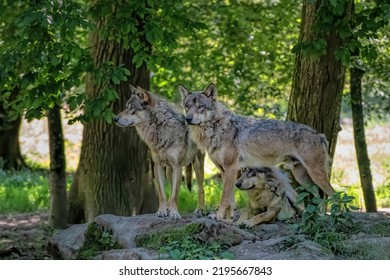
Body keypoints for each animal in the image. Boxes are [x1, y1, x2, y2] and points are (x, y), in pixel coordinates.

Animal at [112, 85, 204, 219]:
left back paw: (201, 209)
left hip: (197, 167)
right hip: (169, 172)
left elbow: (175, 193)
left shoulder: (177, 166)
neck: (159, 129)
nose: (114, 118)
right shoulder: (158, 166)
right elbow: (162, 193)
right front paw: (162, 211)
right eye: (126, 107)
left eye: (131, 108)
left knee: (201, 188)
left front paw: (174, 213)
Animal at [180, 82, 336, 222]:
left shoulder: (231, 168)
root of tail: (319, 135)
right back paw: (318, 217)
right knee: (317, 194)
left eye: (200, 106)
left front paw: (218, 216)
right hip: (302, 177)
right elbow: (230, 200)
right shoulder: (224, 171)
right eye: (187, 106)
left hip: (315, 174)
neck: (216, 128)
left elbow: (224, 198)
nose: (188, 119)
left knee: (333, 193)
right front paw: (228, 219)